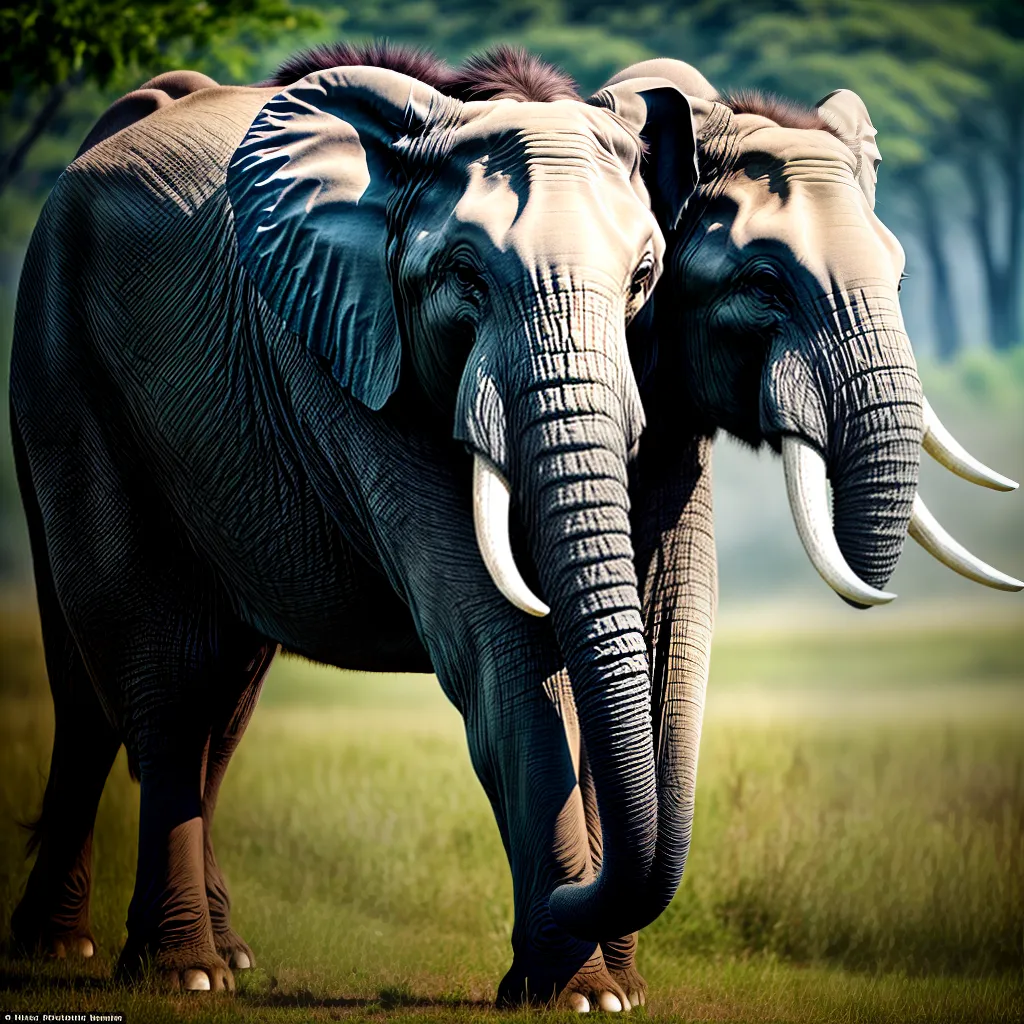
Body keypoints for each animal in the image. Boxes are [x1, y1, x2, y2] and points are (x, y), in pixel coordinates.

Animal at [8, 43, 706, 1005]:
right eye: (465, 276)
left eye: (642, 281)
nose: (576, 896)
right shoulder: (347, 352)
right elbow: (497, 647)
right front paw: (583, 993)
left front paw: (604, 991)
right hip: (63, 359)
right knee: (148, 664)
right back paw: (161, 970)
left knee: (212, 692)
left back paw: (188, 954)